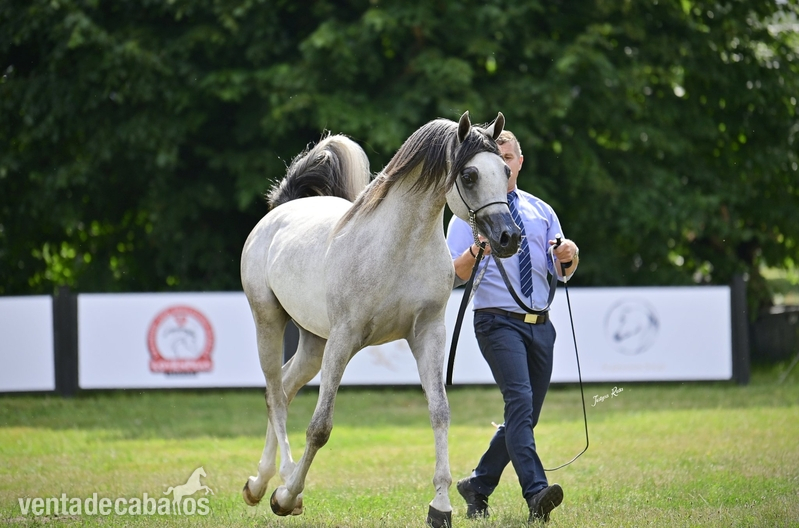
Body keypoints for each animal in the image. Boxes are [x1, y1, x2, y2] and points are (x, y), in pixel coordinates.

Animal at [240, 111, 520, 527]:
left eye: (505, 170)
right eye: (469, 175)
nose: (508, 237)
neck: (397, 247)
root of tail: (279, 211)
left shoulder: (428, 334)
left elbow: (440, 413)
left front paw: (440, 506)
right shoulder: (344, 339)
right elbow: (320, 427)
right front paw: (287, 498)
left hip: (313, 343)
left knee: (285, 390)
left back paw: (263, 482)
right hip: (269, 322)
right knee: (275, 394)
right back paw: (280, 485)